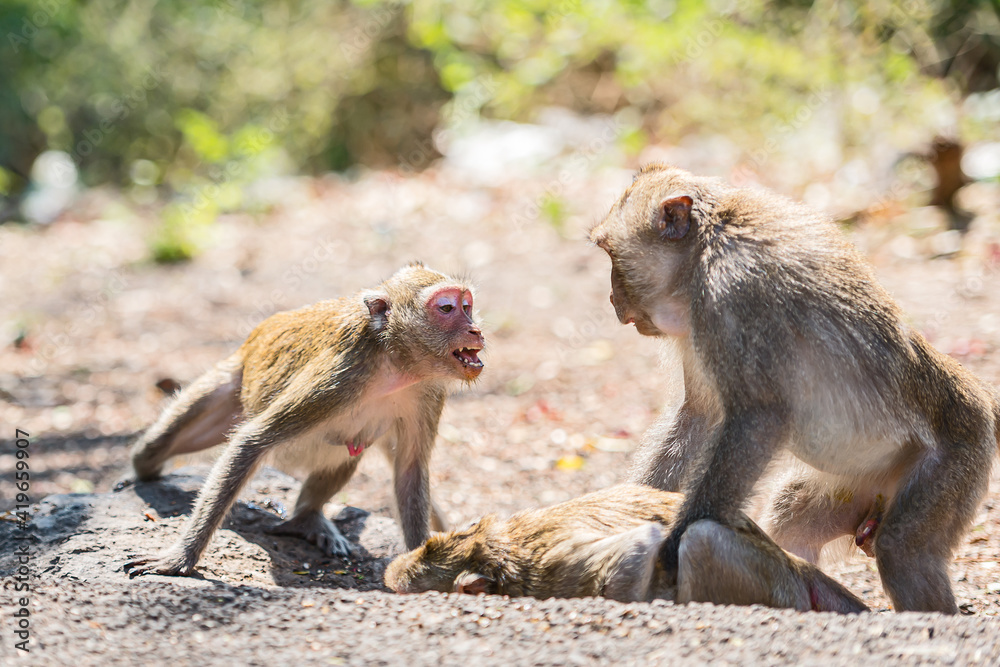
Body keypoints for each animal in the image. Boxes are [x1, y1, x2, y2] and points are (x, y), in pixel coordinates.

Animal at [125, 264, 484, 576]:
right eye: (447, 307)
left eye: (467, 306)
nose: (476, 329)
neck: (396, 365)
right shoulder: (339, 377)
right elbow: (253, 441)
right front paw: (181, 557)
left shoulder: (428, 394)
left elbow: (409, 470)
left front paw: (419, 562)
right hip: (232, 382)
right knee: (155, 448)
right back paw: (142, 472)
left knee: (347, 452)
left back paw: (307, 517)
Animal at [382, 482, 868, 612]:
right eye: (427, 544)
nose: (391, 573)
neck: (498, 546)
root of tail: (790, 564)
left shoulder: (552, 574)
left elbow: (639, 548)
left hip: (763, 577)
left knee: (699, 540)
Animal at [584, 164, 1000, 612]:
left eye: (611, 254)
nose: (612, 298)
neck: (706, 245)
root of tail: (981, 400)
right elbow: (701, 414)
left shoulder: (733, 291)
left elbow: (758, 417)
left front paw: (668, 553)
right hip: (860, 484)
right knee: (794, 517)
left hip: (955, 460)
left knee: (902, 550)